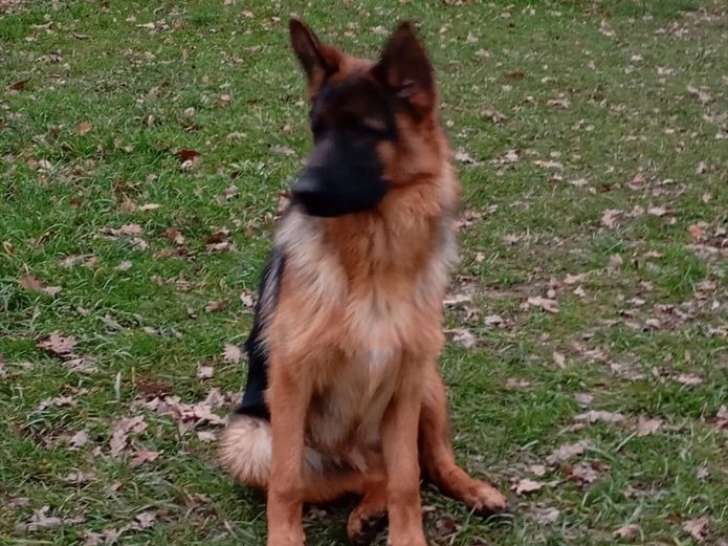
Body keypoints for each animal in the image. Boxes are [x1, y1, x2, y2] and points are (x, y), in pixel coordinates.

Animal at [219, 19, 507, 546]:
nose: (298, 193)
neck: (373, 265)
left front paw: (408, 537)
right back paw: (367, 512)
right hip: (250, 440)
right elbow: (287, 483)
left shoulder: (406, 382)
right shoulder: (291, 383)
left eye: (362, 132)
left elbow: (407, 480)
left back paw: (469, 490)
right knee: (359, 476)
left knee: (421, 465)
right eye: (317, 131)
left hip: (428, 383)